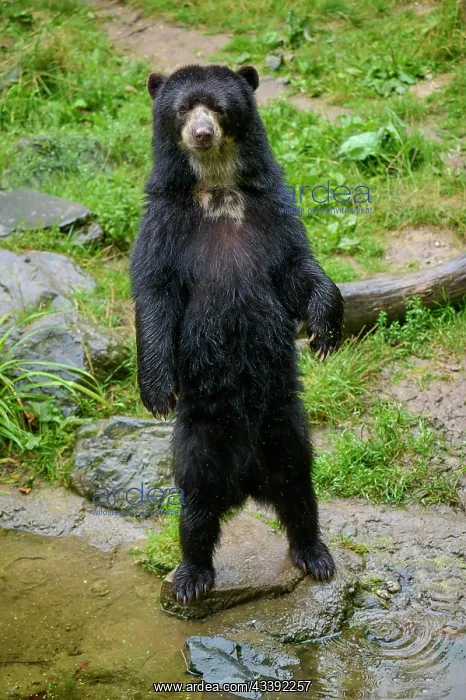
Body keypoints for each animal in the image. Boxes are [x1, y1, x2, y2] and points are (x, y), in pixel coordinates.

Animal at [130, 64, 344, 603]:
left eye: (219, 108)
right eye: (183, 108)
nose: (202, 134)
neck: (220, 189)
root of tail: (247, 481)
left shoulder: (271, 212)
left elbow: (298, 268)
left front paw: (325, 332)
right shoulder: (164, 224)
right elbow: (156, 292)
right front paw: (157, 393)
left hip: (284, 421)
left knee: (299, 485)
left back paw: (314, 553)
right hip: (202, 436)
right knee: (196, 505)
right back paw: (191, 576)